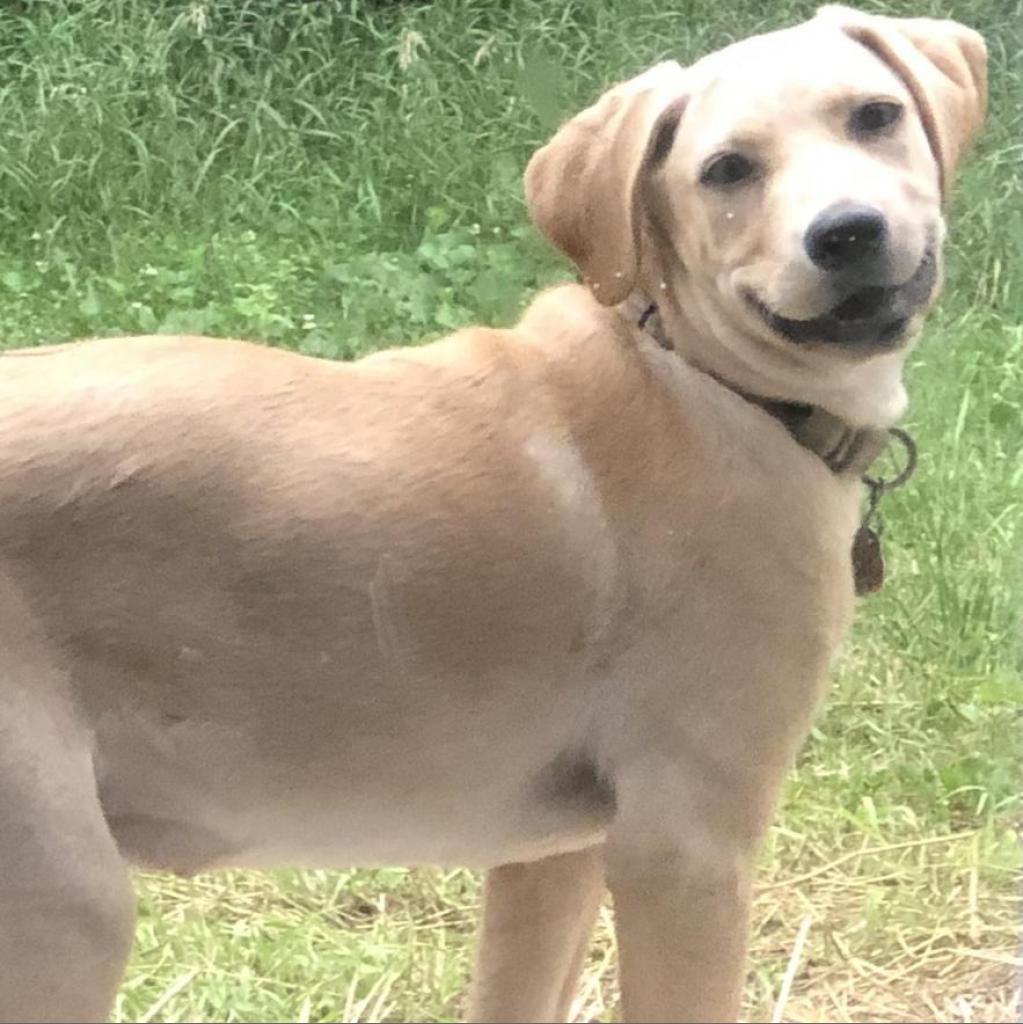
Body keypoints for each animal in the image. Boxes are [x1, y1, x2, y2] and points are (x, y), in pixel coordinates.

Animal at [0, 4, 983, 1019]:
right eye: (725, 170)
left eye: (874, 116)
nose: (848, 233)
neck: (699, 377)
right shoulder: (686, 850)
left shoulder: (553, 856)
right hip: (64, 904)